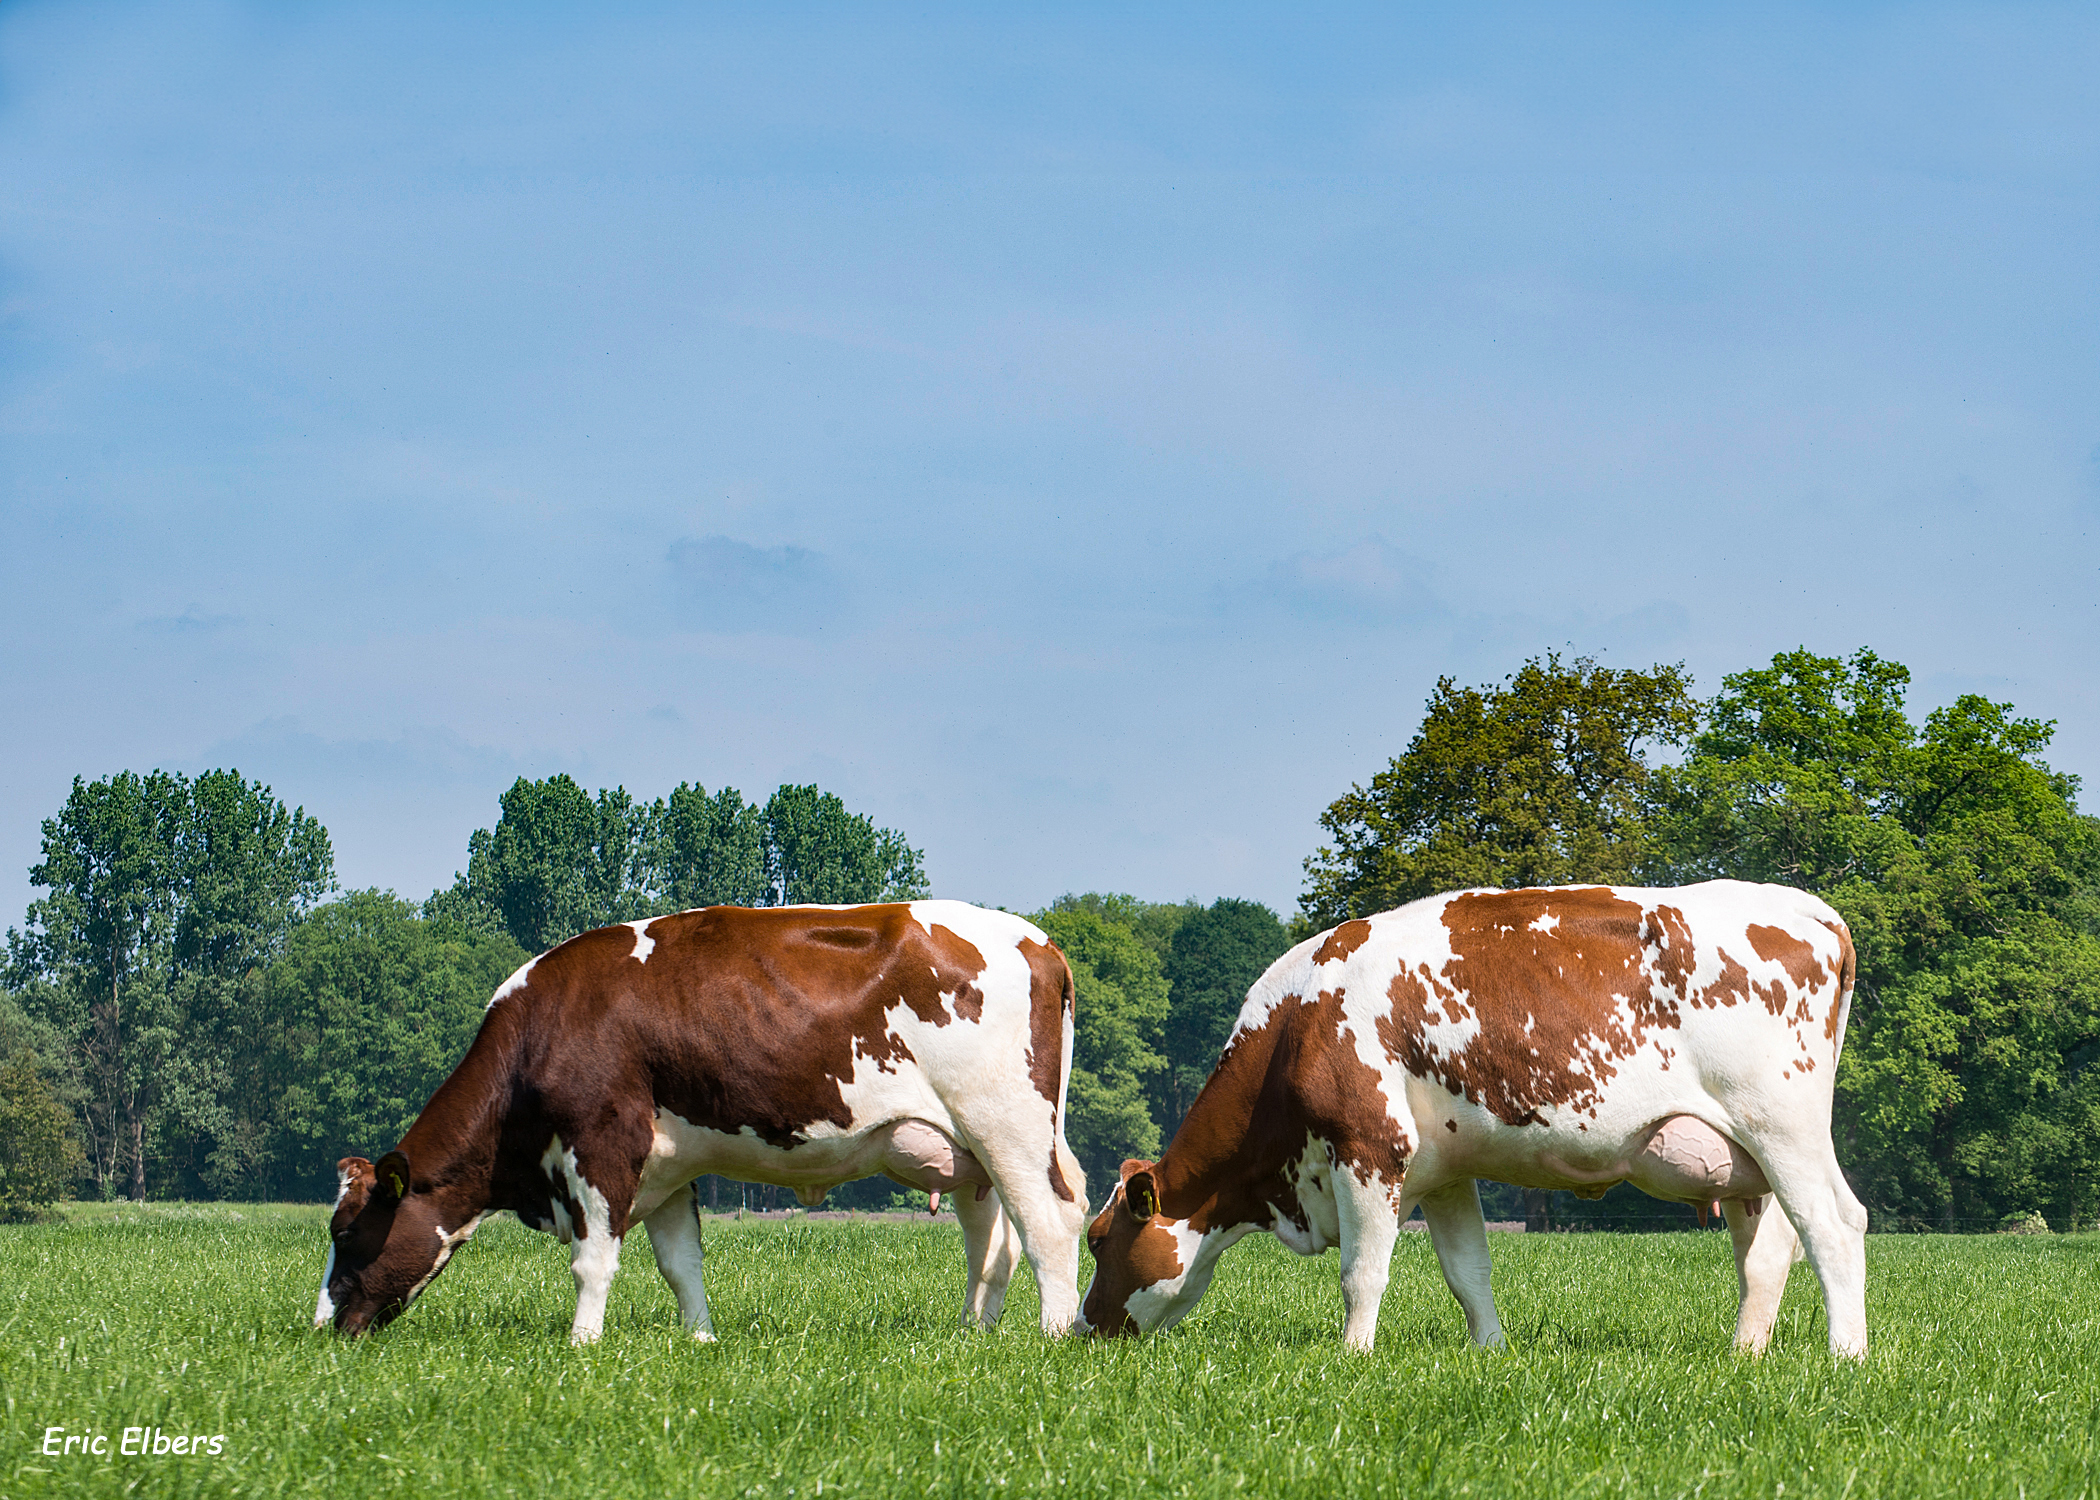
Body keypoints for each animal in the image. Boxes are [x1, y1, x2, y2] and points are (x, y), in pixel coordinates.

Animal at [323, 894, 1100, 1336]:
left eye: (347, 1231)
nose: (326, 1322)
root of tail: (1038, 941)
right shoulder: (667, 1165)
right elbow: (680, 1263)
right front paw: (699, 1339)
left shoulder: (602, 1144)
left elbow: (592, 1261)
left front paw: (581, 1346)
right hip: (965, 1147)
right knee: (990, 1242)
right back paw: (973, 1335)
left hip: (1009, 1124)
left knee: (1049, 1222)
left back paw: (1054, 1333)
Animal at [1083, 878, 1873, 1352]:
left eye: (1097, 1240)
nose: (1083, 1330)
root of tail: (1812, 910)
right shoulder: (1443, 1171)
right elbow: (1469, 1271)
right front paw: (1490, 1353)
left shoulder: (1369, 1148)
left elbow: (1361, 1273)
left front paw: (1352, 1356)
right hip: (1745, 1159)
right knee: (1772, 1251)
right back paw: (1746, 1354)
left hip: (1782, 1126)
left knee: (1832, 1229)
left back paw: (1846, 1354)